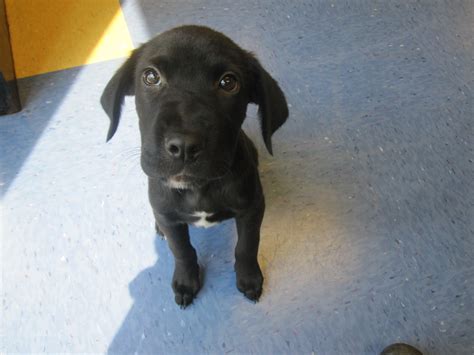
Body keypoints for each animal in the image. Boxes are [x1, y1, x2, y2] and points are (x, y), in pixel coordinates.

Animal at [101, 25, 288, 308]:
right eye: (151, 77)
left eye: (228, 82)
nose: (184, 146)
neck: (198, 188)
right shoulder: (168, 214)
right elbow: (182, 250)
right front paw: (186, 281)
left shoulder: (252, 208)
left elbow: (247, 246)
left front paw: (249, 278)